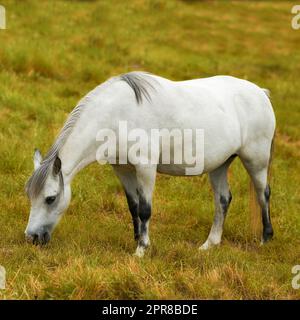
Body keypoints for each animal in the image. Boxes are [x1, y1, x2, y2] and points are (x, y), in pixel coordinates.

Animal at [24, 72, 276, 258]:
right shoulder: (123, 169)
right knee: (223, 199)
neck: (117, 115)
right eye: (30, 196)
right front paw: (137, 239)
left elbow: (145, 209)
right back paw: (209, 244)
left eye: (50, 198)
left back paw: (265, 239)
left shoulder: (145, 168)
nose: (31, 238)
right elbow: (133, 206)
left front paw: (142, 250)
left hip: (256, 159)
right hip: (220, 165)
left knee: (263, 194)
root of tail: (261, 93)